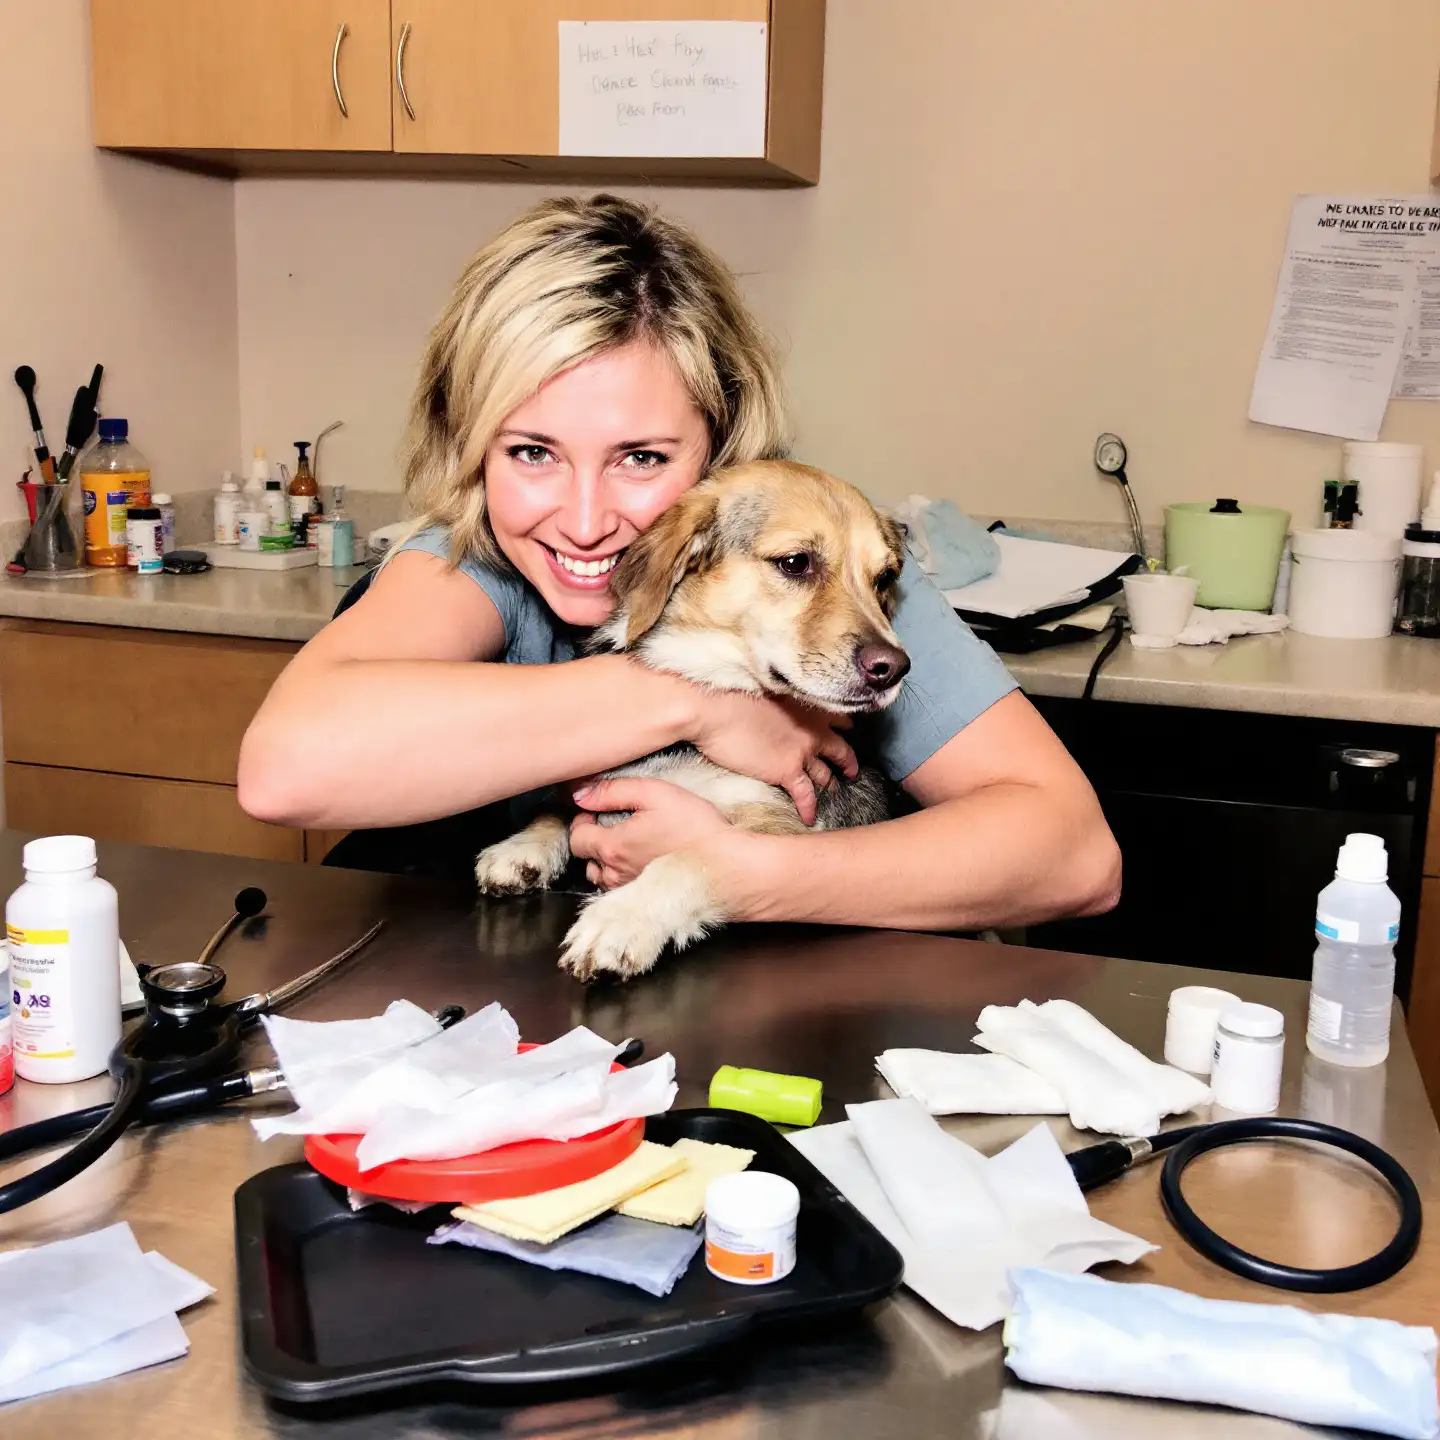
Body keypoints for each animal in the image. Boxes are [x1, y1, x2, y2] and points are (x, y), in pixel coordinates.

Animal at [473, 460, 911, 980]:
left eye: (883, 578)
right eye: (795, 563)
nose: (895, 669)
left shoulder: (779, 828)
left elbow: (695, 854)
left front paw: (622, 918)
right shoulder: (596, 784)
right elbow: (558, 807)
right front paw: (520, 849)